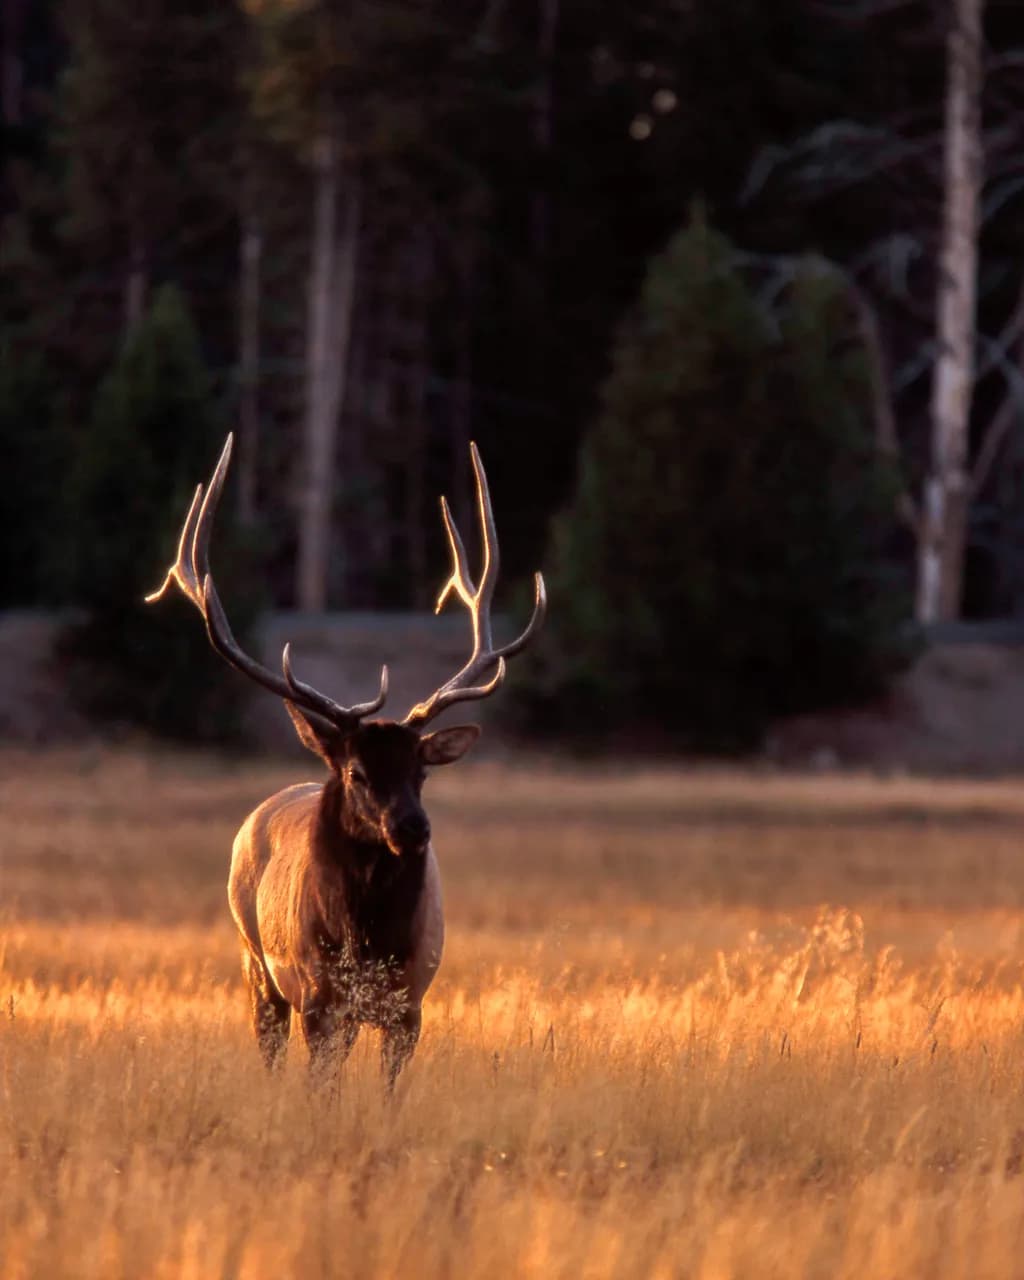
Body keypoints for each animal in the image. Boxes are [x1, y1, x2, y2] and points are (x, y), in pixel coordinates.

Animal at [146, 435, 545, 1086]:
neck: (368, 940)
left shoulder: (410, 1003)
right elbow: (321, 1089)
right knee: (270, 1049)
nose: (414, 828)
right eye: (358, 772)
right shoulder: (318, 998)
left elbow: (389, 1092)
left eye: (421, 771)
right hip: (254, 959)